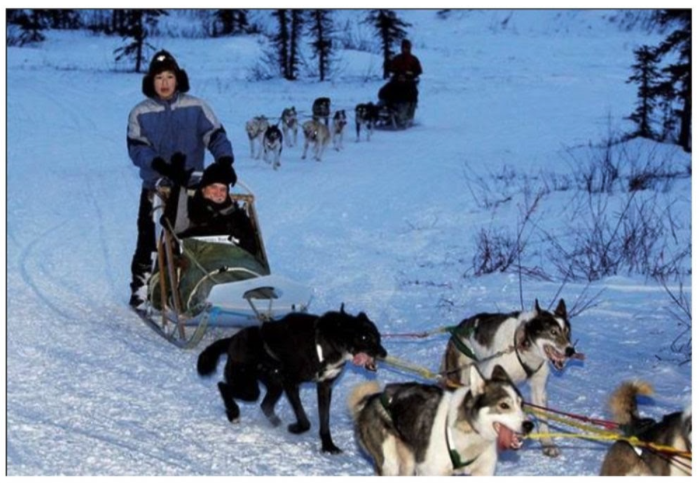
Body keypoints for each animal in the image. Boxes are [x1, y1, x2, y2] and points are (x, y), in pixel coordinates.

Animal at [196, 306, 388, 454]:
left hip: (274, 386)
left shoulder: (324, 387)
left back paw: (275, 424)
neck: (324, 343)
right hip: (249, 387)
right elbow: (305, 420)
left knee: (264, 405)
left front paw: (328, 446)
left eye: (378, 336)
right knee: (223, 385)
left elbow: (324, 422)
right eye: (364, 337)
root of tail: (232, 340)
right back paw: (233, 412)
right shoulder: (290, 383)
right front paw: (296, 429)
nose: (384, 353)